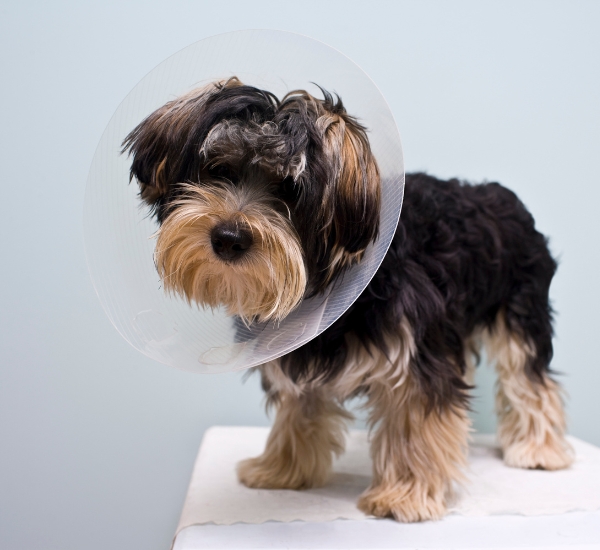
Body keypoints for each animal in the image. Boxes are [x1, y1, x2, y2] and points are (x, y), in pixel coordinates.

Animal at [122, 76, 572, 520]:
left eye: (290, 190)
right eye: (217, 169)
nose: (228, 238)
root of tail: (508, 199)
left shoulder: (414, 353)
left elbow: (415, 418)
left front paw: (403, 494)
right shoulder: (300, 348)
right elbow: (299, 408)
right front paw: (283, 468)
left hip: (520, 310)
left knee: (529, 376)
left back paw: (539, 449)